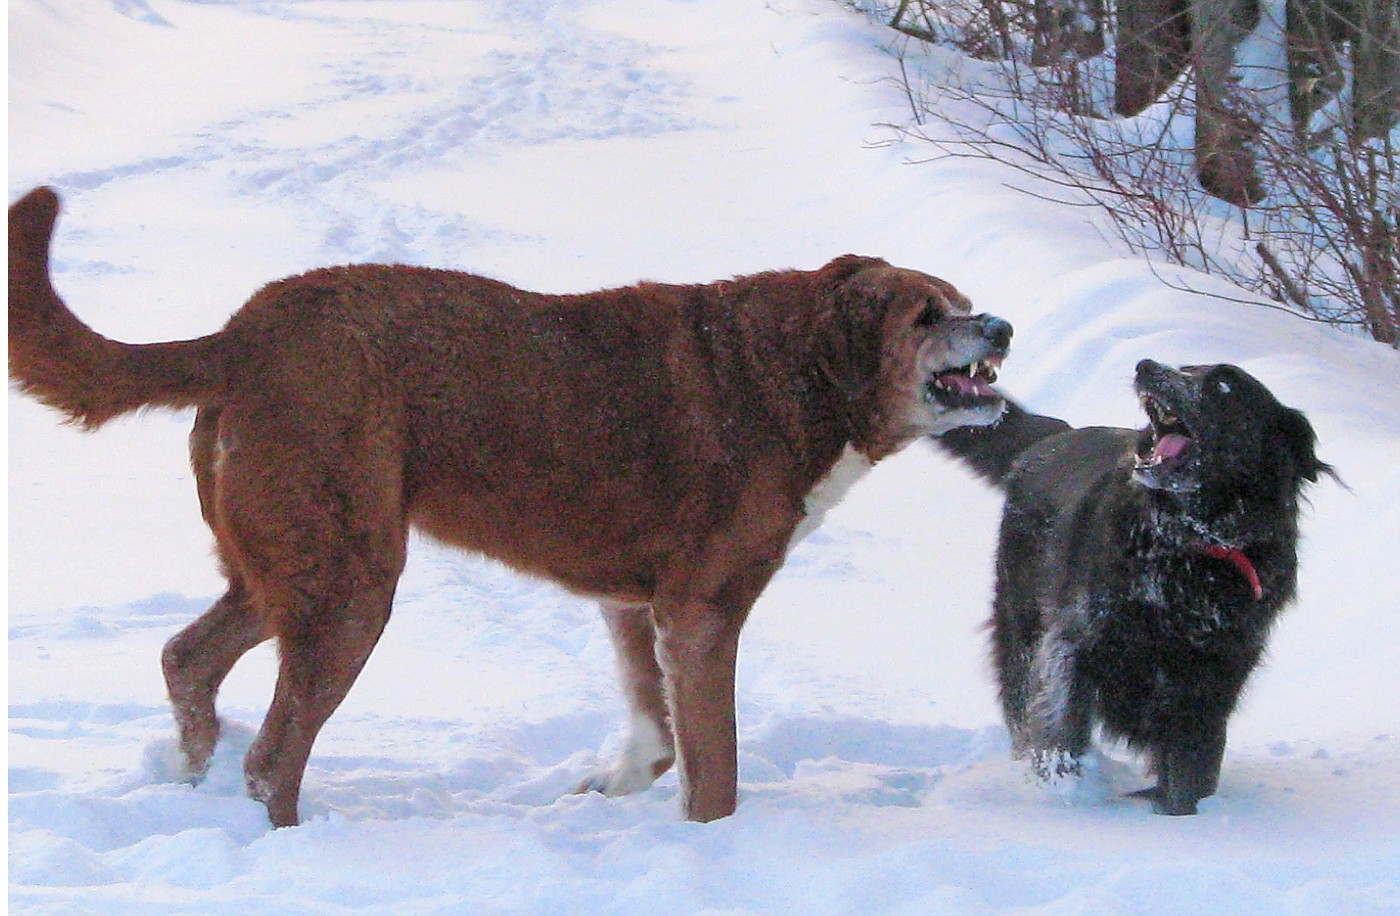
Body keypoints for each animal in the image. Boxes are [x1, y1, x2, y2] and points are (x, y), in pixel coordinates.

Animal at [5, 186, 1008, 823]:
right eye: (925, 316)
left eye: (964, 299)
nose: (1000, 325)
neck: (802, 370)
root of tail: (238, 335)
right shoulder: (704, 609)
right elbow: (714, 768)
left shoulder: (635, 605)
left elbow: (660, 737)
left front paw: (603, 794)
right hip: (350, 583)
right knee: (273, 756)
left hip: (290, 565)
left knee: (187, 659)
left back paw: (189, 778)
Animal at [935, 361, 1327, 817]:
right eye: (1187, 367)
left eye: (1222, 384)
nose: (1146, 366)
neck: (1191, 544)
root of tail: (1052, 439)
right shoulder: (1075, 643)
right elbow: (1062, 728)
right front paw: (1065, 796)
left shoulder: (1212, 678)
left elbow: (1193, 766)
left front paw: (1181, 817)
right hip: (1020, 621)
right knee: (1020, 696)